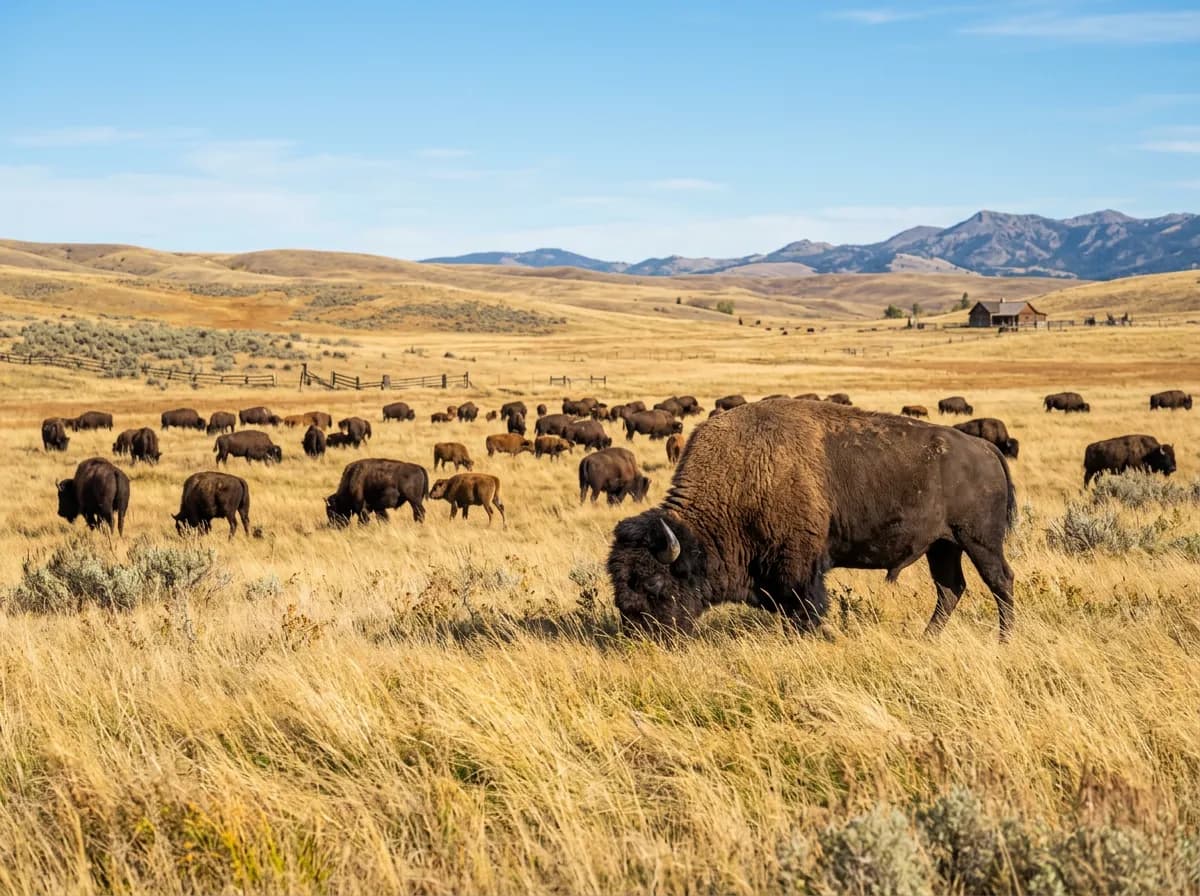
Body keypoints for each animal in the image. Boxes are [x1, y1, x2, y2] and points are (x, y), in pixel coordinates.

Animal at [608, 400, 1016, 640]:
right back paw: (925, 639)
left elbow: (805, 611)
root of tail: (984, 448)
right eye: (618, 586)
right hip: (942, 546)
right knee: (950, 589)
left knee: (1000, 582)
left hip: (979, 541)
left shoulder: (799, 569)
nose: (640, 637)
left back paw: (1004, 639)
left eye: (655, 585)